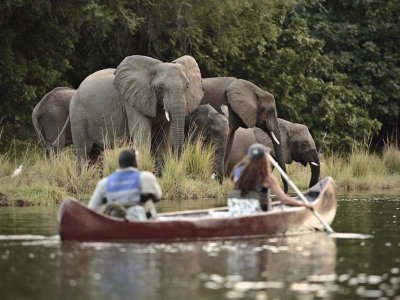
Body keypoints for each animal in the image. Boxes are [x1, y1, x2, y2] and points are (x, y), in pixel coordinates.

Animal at [68, 55, 203, 168]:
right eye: (160, 88)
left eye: (187, 86)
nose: (178, 162)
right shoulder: (132, 101)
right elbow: (142, 137)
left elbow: (164, 141)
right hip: (77, 114)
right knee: (84, 151)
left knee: (95, 153)